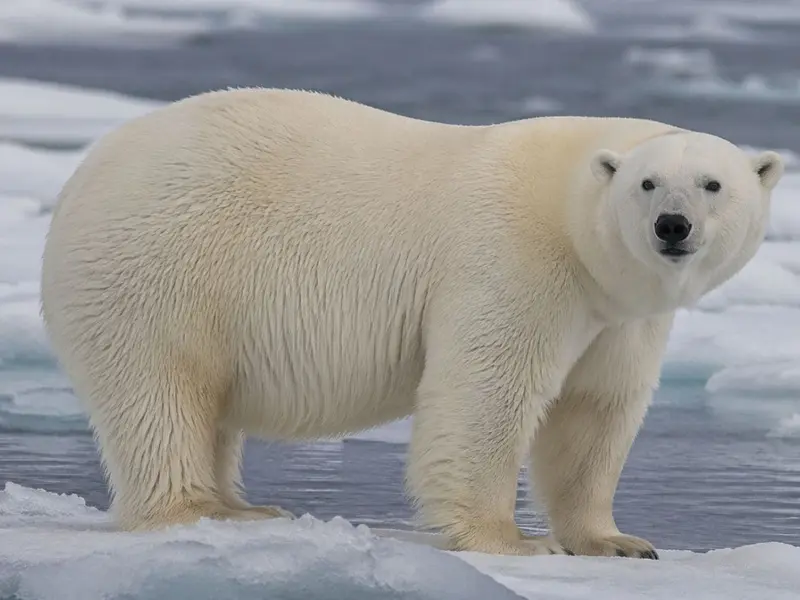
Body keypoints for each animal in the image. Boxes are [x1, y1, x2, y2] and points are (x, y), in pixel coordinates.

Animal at [40, 88, 783, 558]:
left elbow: (595, 410)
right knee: (161, 392)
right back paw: (198, 508)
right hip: (162, 268)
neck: (567, 211)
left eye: (713, 184)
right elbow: (487, 392)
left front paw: (617, 541)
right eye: (647, 184)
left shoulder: (616, 314)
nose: (672, 227)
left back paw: (241, 506)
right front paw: (511, 539)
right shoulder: (512, 258)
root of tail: (81, 178)